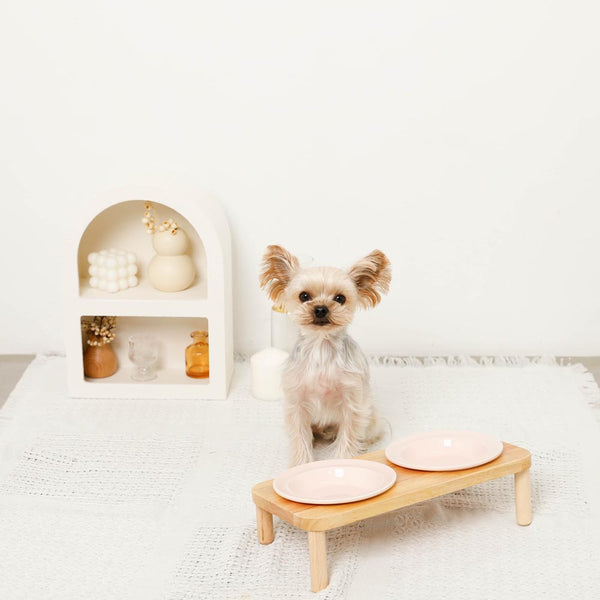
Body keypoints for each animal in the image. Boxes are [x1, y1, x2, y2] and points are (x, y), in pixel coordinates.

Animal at [260, 244, 392, 464]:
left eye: (340, 298)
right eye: (304, 296)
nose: (321, 309)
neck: (321, 347)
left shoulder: (352, 404)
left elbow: (348, 438)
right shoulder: (297, 404)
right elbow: (300, 440)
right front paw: (301, 465)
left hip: (370, 417)